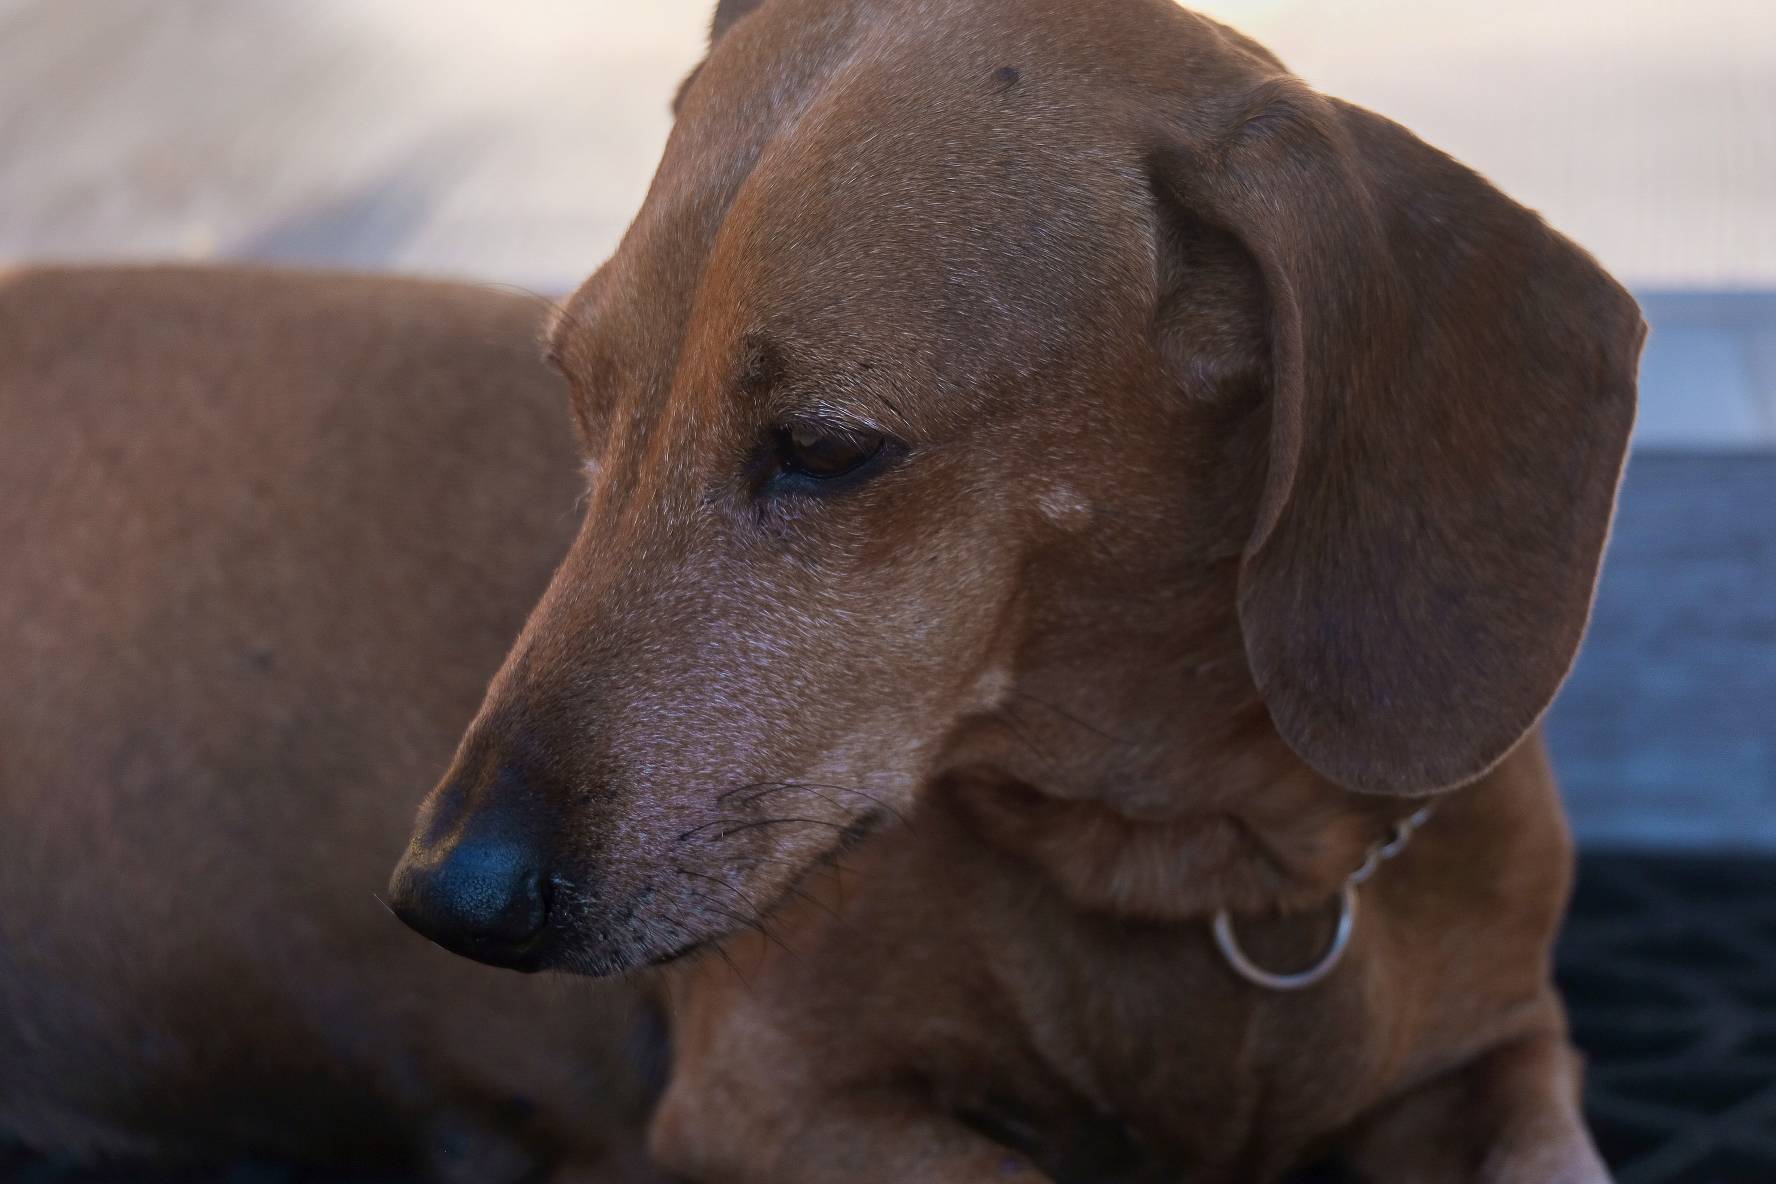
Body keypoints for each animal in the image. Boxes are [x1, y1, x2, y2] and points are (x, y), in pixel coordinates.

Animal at [396, 4, 1641, 1178]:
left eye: (828, 446)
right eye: (579, 391)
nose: (447, 896)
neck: (1199, 865)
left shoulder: (1506, 1051)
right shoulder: (764, 1101)